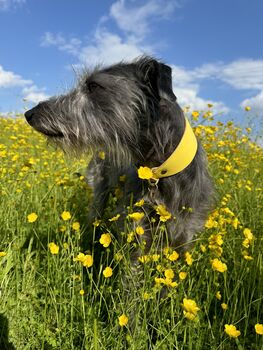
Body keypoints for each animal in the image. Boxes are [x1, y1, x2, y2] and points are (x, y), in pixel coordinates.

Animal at [24, 56, 214, 258]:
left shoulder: (186, 231)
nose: (29, 114)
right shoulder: (137, 224)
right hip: (99, 190)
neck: (160, 171)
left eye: (93, 85)